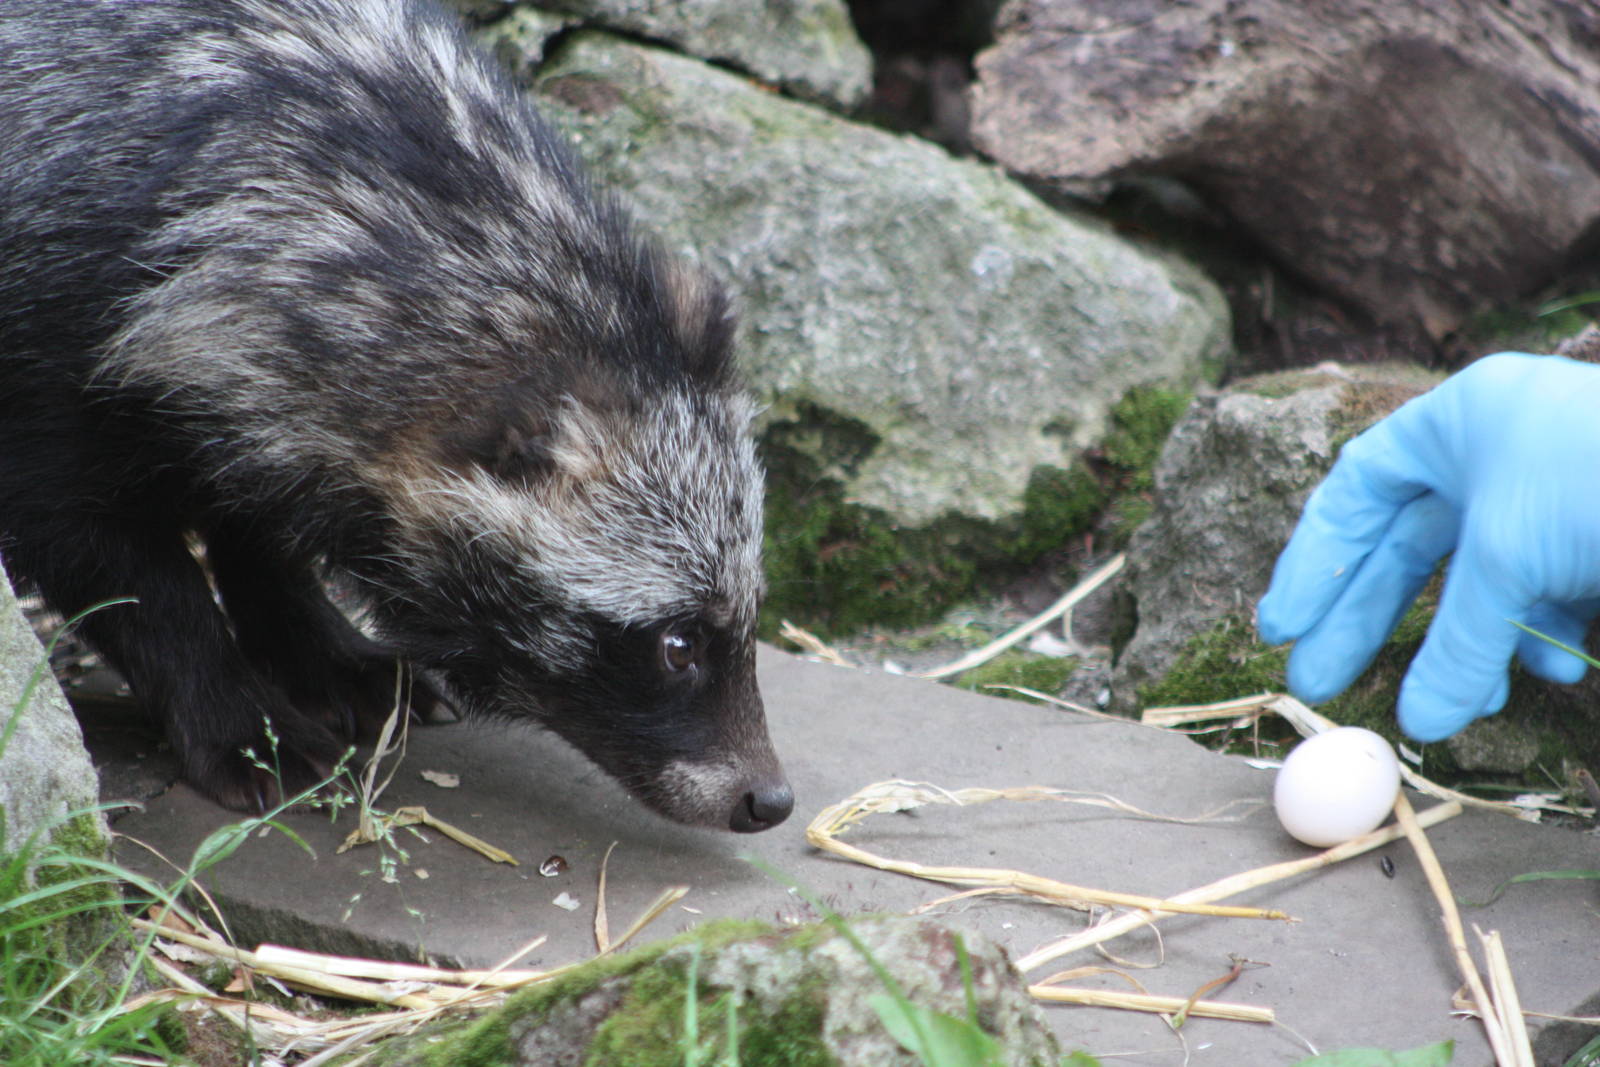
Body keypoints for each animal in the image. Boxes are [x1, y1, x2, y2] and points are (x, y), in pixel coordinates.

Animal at [0, 0, 792, 832]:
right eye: (679, 643)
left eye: (750, 613)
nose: (767, 798)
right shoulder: (53, 332)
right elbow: (105, 550)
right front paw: (233, 712)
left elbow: (253, 500)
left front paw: (313, 638)